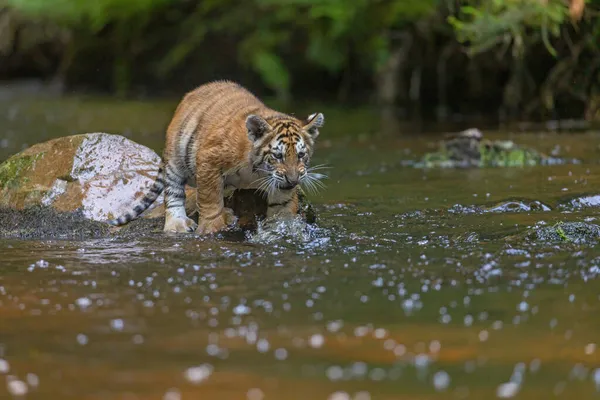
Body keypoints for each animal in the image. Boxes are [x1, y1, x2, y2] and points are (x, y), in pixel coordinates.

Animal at [106, 80, 326, 234]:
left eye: (301, 155)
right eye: (277, 156)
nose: (293, 180)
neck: (257, 171)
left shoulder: (280, 184)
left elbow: (282, 207)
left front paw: (284, 229)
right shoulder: (208, 160)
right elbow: (210, 198)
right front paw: (212, 228)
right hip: (175, 161)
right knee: (174, 193)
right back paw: (178, 224)